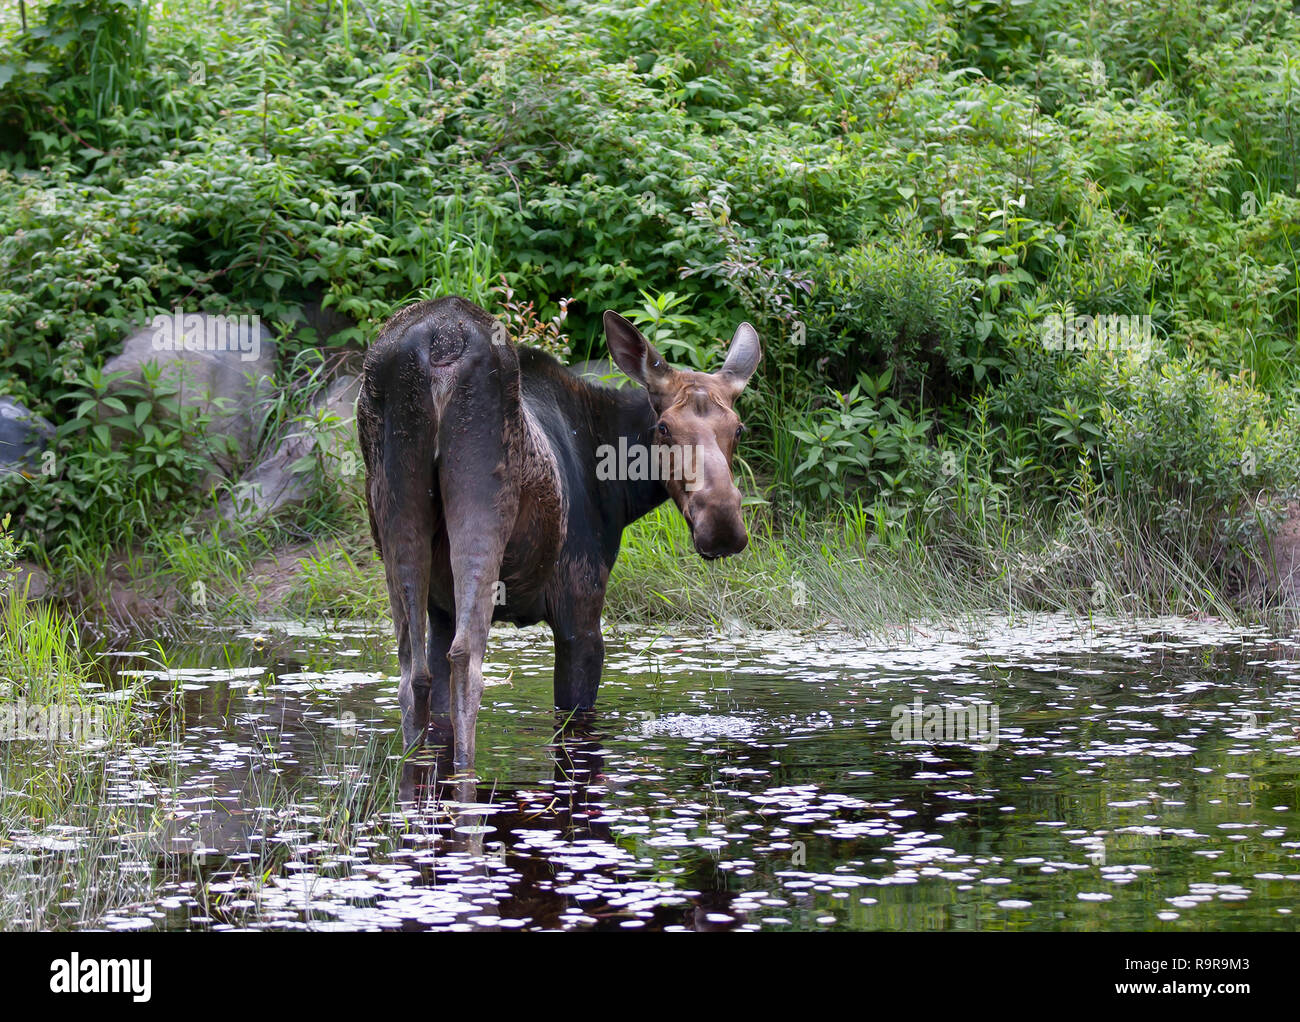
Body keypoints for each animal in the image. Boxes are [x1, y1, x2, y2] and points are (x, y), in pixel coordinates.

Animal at [356, 299, 759, 769]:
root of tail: (436, 349)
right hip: (483, 496)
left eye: (738, 429)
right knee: (467, 662)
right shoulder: (579, 611)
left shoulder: (441, 609)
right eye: (664, 429)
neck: (621, 491)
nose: (722, 523)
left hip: (397, 503)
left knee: (412, 674)